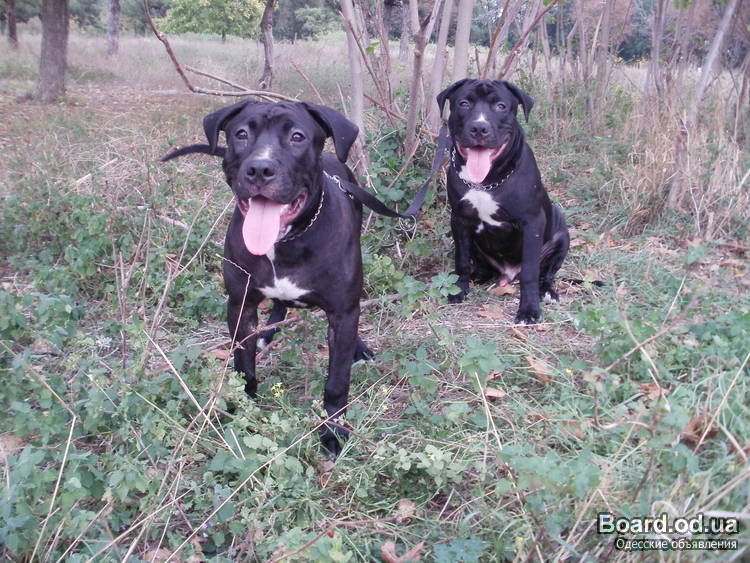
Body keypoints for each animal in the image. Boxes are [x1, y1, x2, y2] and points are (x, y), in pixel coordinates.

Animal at [163, 100, 373, 456]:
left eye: (297, 136)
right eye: (241, 134)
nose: (260, 169)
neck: (284, 242)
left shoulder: (342, 313)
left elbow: (337, 380)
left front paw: (333, 432)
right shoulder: (241, 306)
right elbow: (243, 366)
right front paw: (241, 412)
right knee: (278, 305)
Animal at [436, 79, 570, 324]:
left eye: (500, 106)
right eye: (464, 103)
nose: (479, 128)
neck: (486, 182)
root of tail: (508, 274)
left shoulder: (532, 223)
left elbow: (530, 272)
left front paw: (528, 310)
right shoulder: (459, 219)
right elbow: (462, 260)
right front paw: (459, 289)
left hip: (561, 237)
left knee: (545, 273)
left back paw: (547, 291)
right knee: (479, 263)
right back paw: (478, 275)